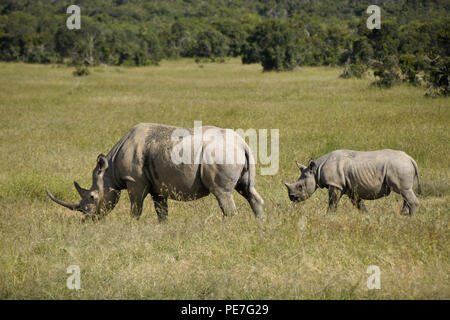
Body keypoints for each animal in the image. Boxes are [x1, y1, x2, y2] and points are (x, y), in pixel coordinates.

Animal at [45, 124, 264, 221]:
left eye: (92, 197)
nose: (86, 219)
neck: (109, 170)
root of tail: (243, 143)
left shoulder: (135, 181)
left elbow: (136, 207)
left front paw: (133, 226)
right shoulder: (158, 185)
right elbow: (161, 211)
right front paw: (163, 227)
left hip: (220, 154)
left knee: (222, 193)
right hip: (232, 153)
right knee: (247, 190)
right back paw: (259, 225)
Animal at [284, 149, 422, 215]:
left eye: (300, 186)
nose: (292, 198)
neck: (317, 169)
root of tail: (410, 159)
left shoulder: (335, 184)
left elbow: (332, 202)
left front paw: (328, 217)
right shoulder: (349, 187)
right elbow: (358, 204)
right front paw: (367, 216)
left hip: (399, 166)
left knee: (404, 191)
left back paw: (411, 218)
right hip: (401, 166)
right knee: (405, 192)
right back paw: (403, 215)